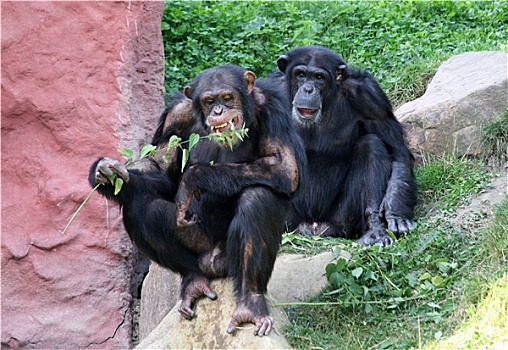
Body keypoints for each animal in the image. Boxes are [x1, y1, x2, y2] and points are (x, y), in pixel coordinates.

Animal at [89, 65, 304, 336]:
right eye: (208, 101)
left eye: (227, 97)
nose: (218, 111)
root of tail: (211, 263)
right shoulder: (175, 116)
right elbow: (159, 168)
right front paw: (107, 172)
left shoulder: (272, 108)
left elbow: (284, 166)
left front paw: (192, 178)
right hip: (199, 248)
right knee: (140, 207)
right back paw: (193, 281)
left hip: (226, 260)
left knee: (258, 196)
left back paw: (250, 303)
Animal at [274, 45, 416, 245]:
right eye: (300, 74)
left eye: (319, 77)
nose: (308, 89)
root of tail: (312, 226)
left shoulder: (371, 99)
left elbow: (398, 153)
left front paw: (396, 212)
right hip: (289, 221)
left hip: (341, 221)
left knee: (371, 145)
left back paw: (375, 232)